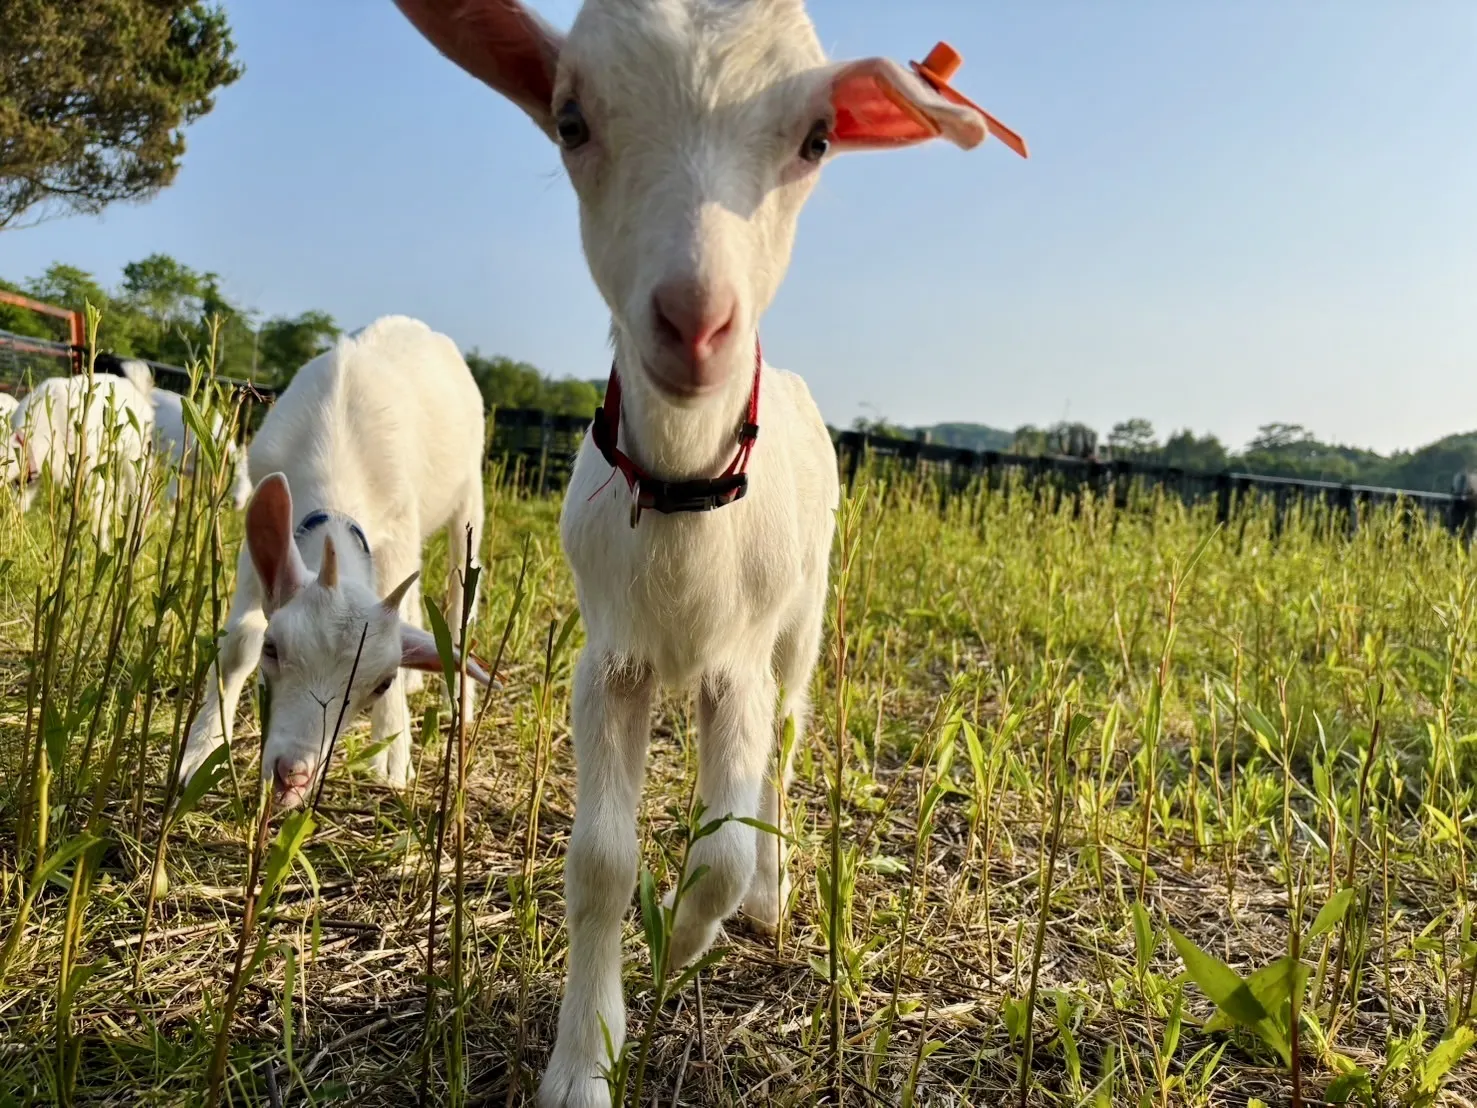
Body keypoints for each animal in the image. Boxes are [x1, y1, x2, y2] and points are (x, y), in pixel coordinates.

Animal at [4, 364, 156, 545]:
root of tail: (139, 391)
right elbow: (20, 505)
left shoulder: (90, 467)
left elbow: (98, 509)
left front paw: (101, 544)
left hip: (136, 452)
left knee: (140, 492)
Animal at [176, 315, 491, 807]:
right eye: (273, 649)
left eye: (380, 683)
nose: (294, 775)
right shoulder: (257, 550)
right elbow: (237, 644)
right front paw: (199, 751)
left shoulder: (397, 527)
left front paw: (393, 755)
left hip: (468, 492)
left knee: (462, 591)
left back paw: (454, 698)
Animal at [396, 2, 1018, 1103]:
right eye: (570, 120)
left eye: (816, 141)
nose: (696, 323)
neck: (685, 488)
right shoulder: (609, 657)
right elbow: (599, 861)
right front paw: (582, 1061)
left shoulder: (740, 662)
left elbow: (722, 848)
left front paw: (686, 938)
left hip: (801, 619)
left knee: (785, 746)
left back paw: (766, 896)